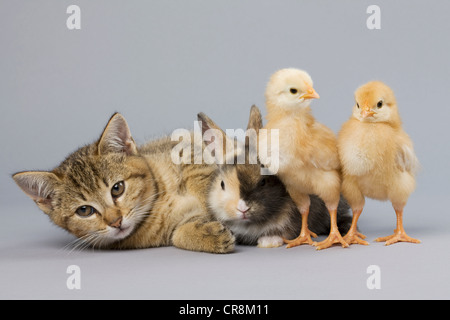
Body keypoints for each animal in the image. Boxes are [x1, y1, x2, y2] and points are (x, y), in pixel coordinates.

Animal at [12, 114, 234, 254]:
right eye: (84, 210)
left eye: (117, 188)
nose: (116, 222)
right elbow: (177, 235)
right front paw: (208, 235)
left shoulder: (185, 150)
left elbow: (204, 180)